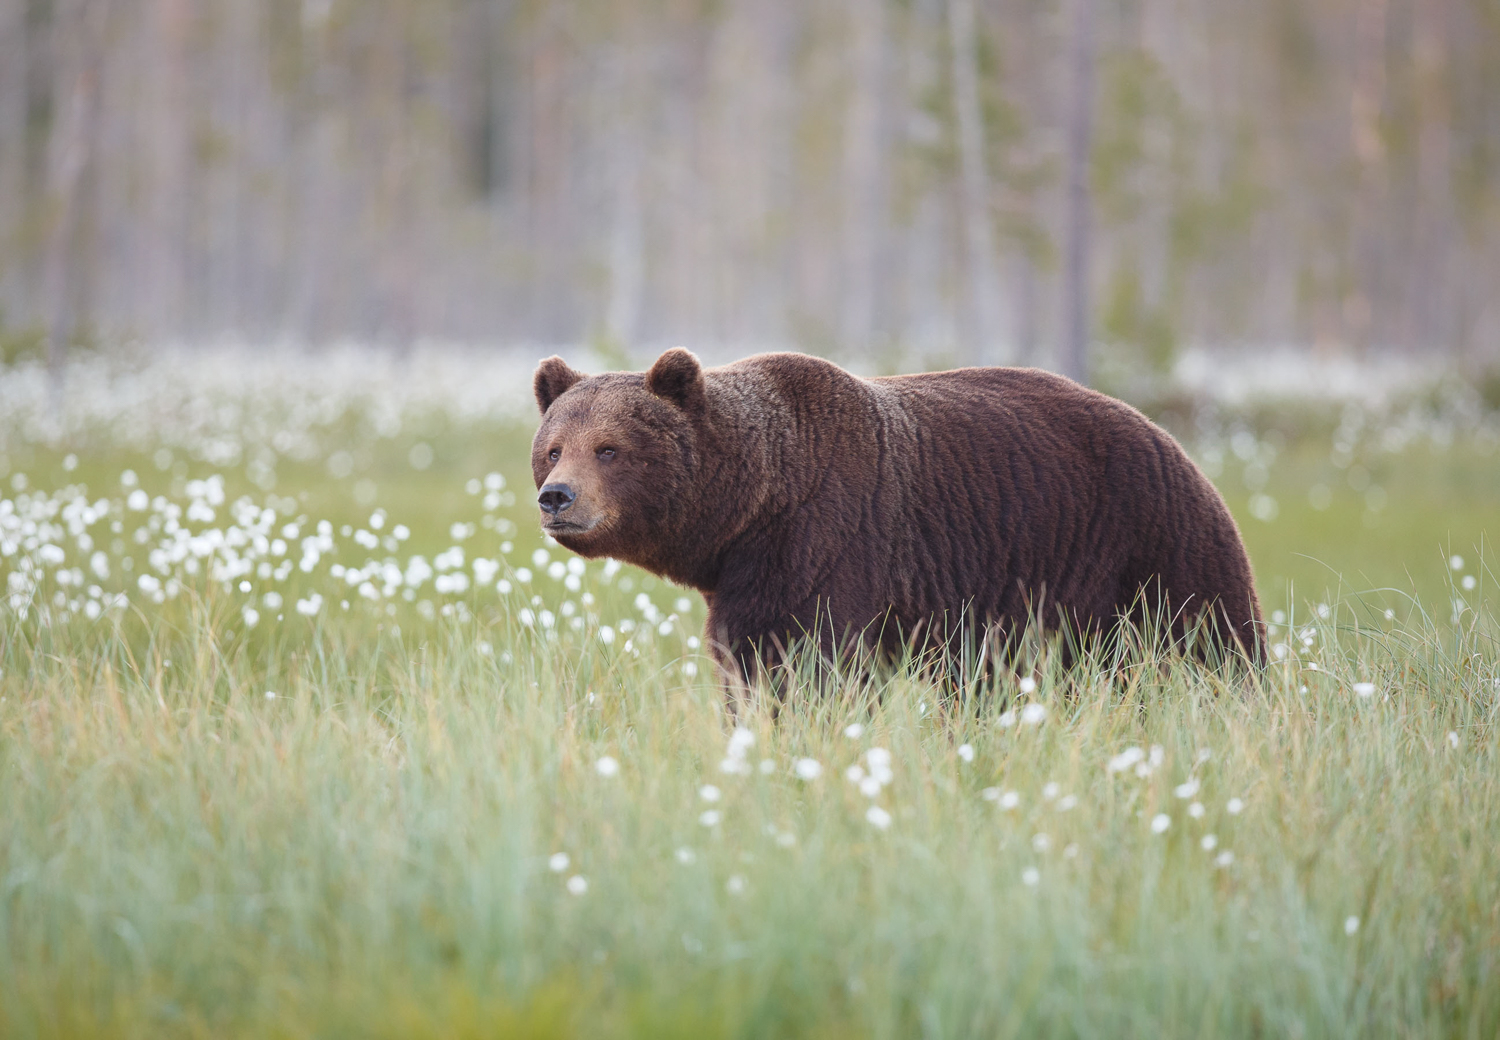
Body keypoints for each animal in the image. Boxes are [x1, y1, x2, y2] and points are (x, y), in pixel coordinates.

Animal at [534, 348, 1260, 684]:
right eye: (553, 447)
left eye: (610, 448)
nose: (557, 498)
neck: (751, 510)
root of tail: (1181, 448)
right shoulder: (747, 581)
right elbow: (743, 659)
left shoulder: (825, 545)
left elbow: (805, 661)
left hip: (1147, 554)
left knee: (1210, 646)